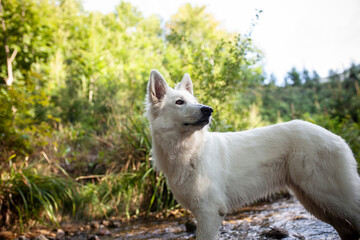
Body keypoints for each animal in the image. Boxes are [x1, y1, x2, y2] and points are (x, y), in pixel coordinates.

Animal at [145, 69, 360, 240]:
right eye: (179, 102)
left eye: (195, 102)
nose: (208, 110)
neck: (189, 150)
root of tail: (336, 137)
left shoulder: (210, 212)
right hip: (315, 202)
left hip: (329, 195)